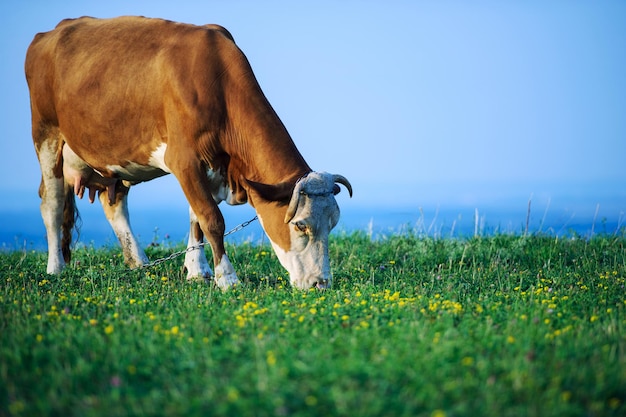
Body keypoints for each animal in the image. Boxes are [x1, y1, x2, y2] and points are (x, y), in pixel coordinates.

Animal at [25, 16, 352, 290]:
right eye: (300, 225)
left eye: (333, 223)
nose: (321, 284)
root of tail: (53, 31)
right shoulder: (183, 160)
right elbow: (211, 218)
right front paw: (227, 278)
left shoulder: (209, 164)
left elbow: (196, 217)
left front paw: (197, 270)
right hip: (46, 133)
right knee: (52, 202)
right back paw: (55, 267)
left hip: (110, 156)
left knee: (114, 203)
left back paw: (138, 262)